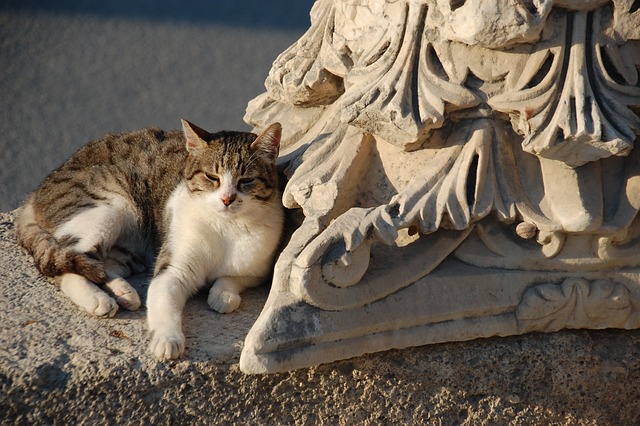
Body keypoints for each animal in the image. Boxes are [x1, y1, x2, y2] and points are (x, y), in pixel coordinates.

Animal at [14, 120, 284, 360]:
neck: (227, 227)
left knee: (99, 264)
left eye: (246, 180)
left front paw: (223, 295)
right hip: (109, 210)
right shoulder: (173, 269)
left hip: (130, 248)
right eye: (212, 177)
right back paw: (97, 299)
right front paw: (167, 340)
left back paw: (123, 292)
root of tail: (38, 189)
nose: (227, 199)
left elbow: (234, 277)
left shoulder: (259, 268)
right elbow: (164, 301)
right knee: (64, 264)